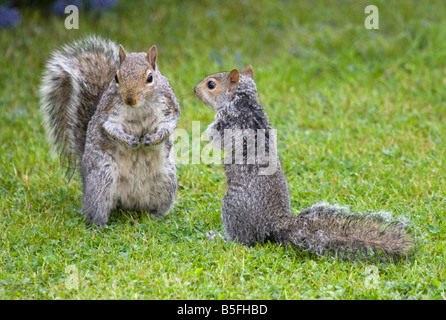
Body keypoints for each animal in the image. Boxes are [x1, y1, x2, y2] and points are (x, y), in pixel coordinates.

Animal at [39, 36, 179, 228]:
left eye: (150, 77)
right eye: (116, 77)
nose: (129, 99)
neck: (140, 107)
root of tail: (129, 201)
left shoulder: (169, 104)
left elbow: (170, 123)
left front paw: (153, 138)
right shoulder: (108, 110)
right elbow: (110, 127)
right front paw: (129, 140)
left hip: (165, 180)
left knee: (156, 205)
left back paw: (155, 216)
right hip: (101, 180)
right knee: (97, 208)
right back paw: (99, 225)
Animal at [193, 66, 412, 262]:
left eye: (211, 84)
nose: (194, 90)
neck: (242, 101)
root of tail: (274, 224)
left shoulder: (228, 122)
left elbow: (215, 135)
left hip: (231, 207)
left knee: (243, 240)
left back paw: (218, 237)